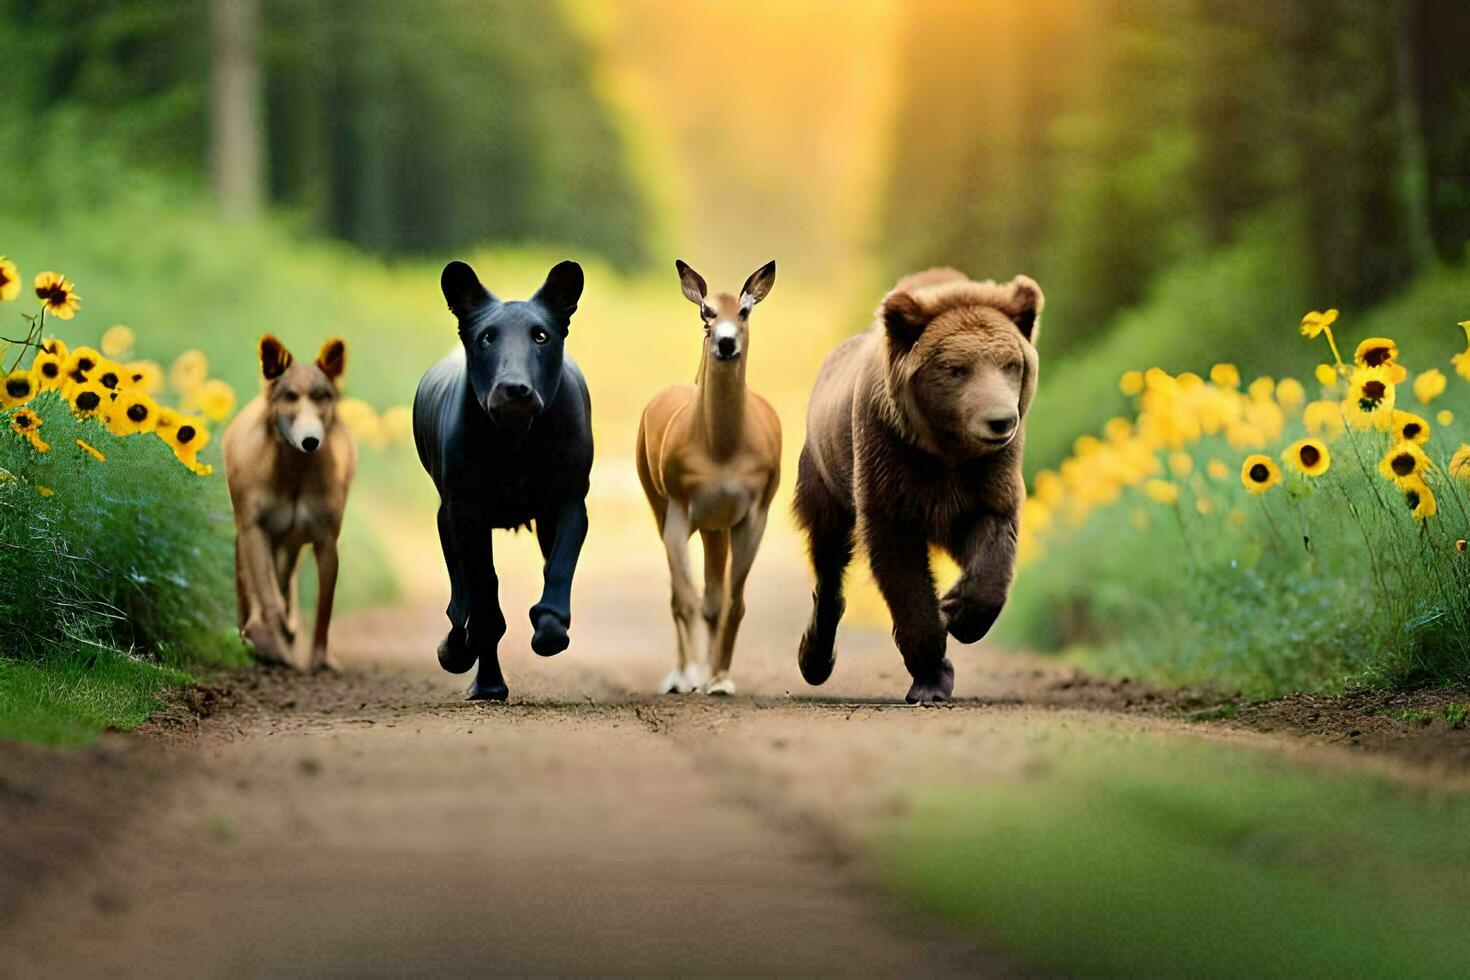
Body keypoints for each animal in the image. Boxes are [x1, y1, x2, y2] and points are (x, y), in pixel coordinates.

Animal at [221, 337, 357, 675]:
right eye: (290, 396)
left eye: (321, 397)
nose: (310, 440)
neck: (295, 476)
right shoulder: (254, 530)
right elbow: (268, 599)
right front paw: (273, 644)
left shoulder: (325, 540)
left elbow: (324, 609)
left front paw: (319, 660)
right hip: (249, 539)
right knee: (254, 591)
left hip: (291, 544)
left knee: (285, 582)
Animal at [414, 260, 590, 702]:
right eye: (486, 337)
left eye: (541, 336)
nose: (514, 389)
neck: (515, 439)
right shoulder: (464, 511)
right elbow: (481, 594)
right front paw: (468, 660)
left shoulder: (569, 501)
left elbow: (559, 567)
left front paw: (550, 630)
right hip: (447, 516)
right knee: (464, 594)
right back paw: (476, 671)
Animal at [632, 257, 782, 693]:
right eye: (706, 313)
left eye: (744, 311)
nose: (726, 343)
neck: (722, 448)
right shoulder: (680, 510)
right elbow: (685, 599)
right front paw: (692, 676)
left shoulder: (753, 515)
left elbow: (733, 601)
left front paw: (720, 679)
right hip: (662, 506)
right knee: (681, 594)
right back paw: (681, 674)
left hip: (717, 530)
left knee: (716, 597)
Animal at [793, 264, 1046, 702]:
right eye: (956, 368)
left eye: (1011, 364)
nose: (1000, 421)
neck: (945, 449)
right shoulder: (891, 463)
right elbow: (900, 567)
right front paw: (931, 674)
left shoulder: (985, 476)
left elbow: (994, 538)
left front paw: (958, 611)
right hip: (825, 473)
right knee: (828, 551)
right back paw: (815, 657)